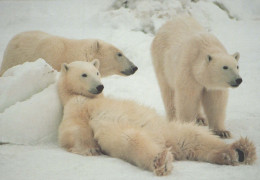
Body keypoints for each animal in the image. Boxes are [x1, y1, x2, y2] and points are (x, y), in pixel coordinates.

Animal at [57, 60, 256, 176]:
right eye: (84, 74)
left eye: (97, 72)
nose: (99, 86)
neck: (90, 98)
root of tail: (165, 142)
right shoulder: (76, 106)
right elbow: (72, 129)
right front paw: (90, 149)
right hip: (127, 133)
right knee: (132, 140)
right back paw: (161, 160)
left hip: (170, 129)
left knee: (194, 137)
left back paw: (239, 151)